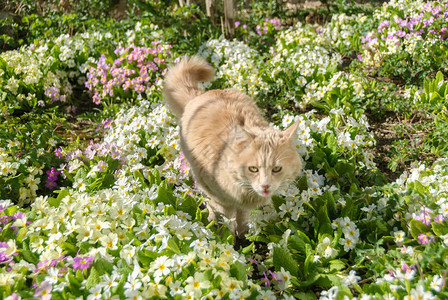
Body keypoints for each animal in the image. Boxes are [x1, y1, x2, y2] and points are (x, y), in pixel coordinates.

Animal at [163, 55, 302, 239]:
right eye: (253, 169)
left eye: (277, 169)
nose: (265, 186)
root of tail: (202, 94)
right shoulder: (221, 200)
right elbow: (224, 222)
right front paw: (225, 240)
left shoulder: (242, 205)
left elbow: (242, 218)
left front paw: (244, 237)